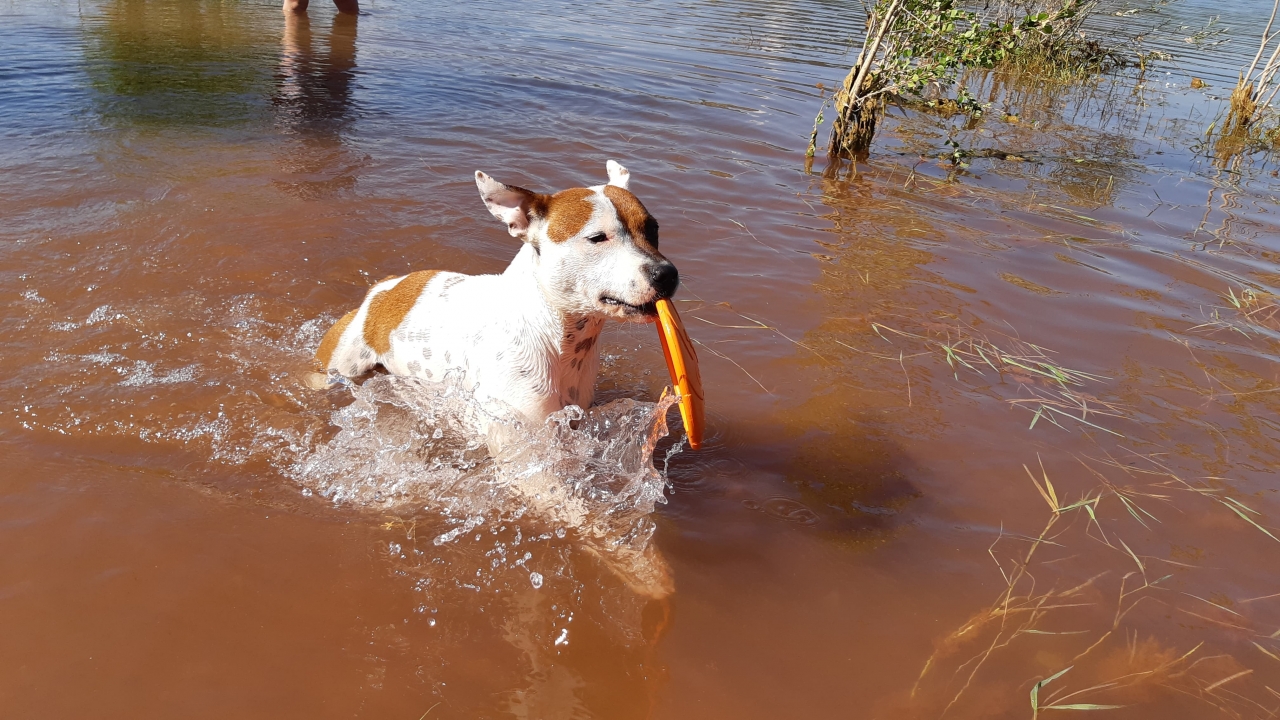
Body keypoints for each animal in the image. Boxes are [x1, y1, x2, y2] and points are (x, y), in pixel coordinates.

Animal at [314, 161, 679, 432]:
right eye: (597, 238)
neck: (558, 337)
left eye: (653, 229)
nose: (667, 274)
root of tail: (385, 288)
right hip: (336, 364)